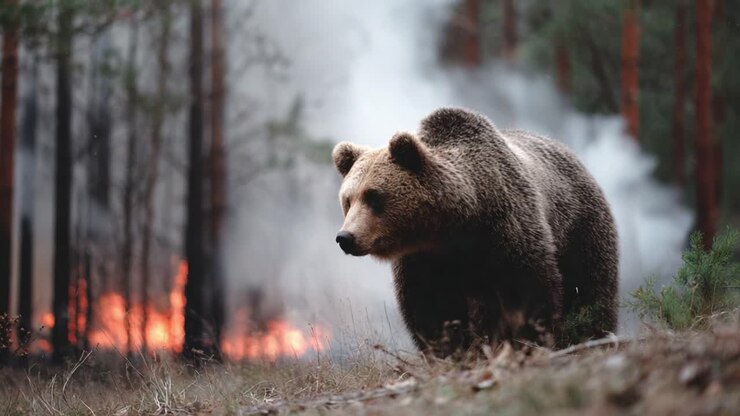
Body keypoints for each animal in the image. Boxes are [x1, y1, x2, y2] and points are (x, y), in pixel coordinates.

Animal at [332, 107, 618, 357]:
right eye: (348, 199)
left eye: (374, 197)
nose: (346, 238)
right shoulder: (424, 260)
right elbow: (431, 308)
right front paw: (450, 351)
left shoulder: (507, 229)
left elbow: (530, 290)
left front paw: (528, 342)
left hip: (579, 226)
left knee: (590, 289)